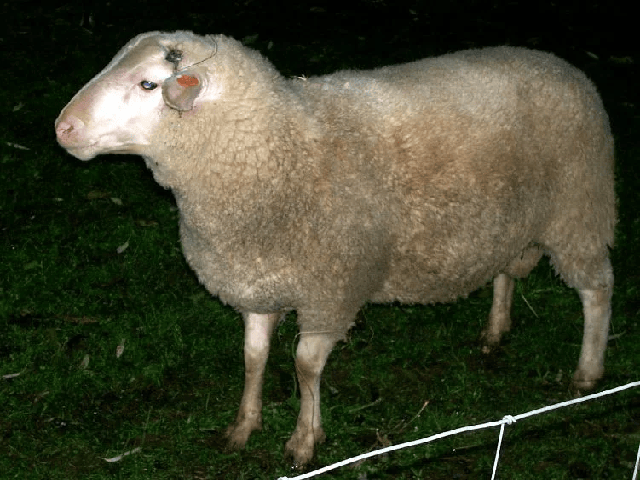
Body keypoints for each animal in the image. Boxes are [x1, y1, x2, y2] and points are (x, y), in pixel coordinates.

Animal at [55, 30, 615, 467]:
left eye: (148, 84)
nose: (62, 127)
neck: (276, 148)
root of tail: (560, 64)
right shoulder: (256, 281)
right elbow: (253, 357)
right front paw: (244, 425)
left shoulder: (332, 288)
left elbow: (305, 365)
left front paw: (305, 439)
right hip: (512, 219)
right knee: (506, 271)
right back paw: (496, 331)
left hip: (579, 211)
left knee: (598, 289)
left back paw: (587, 372)